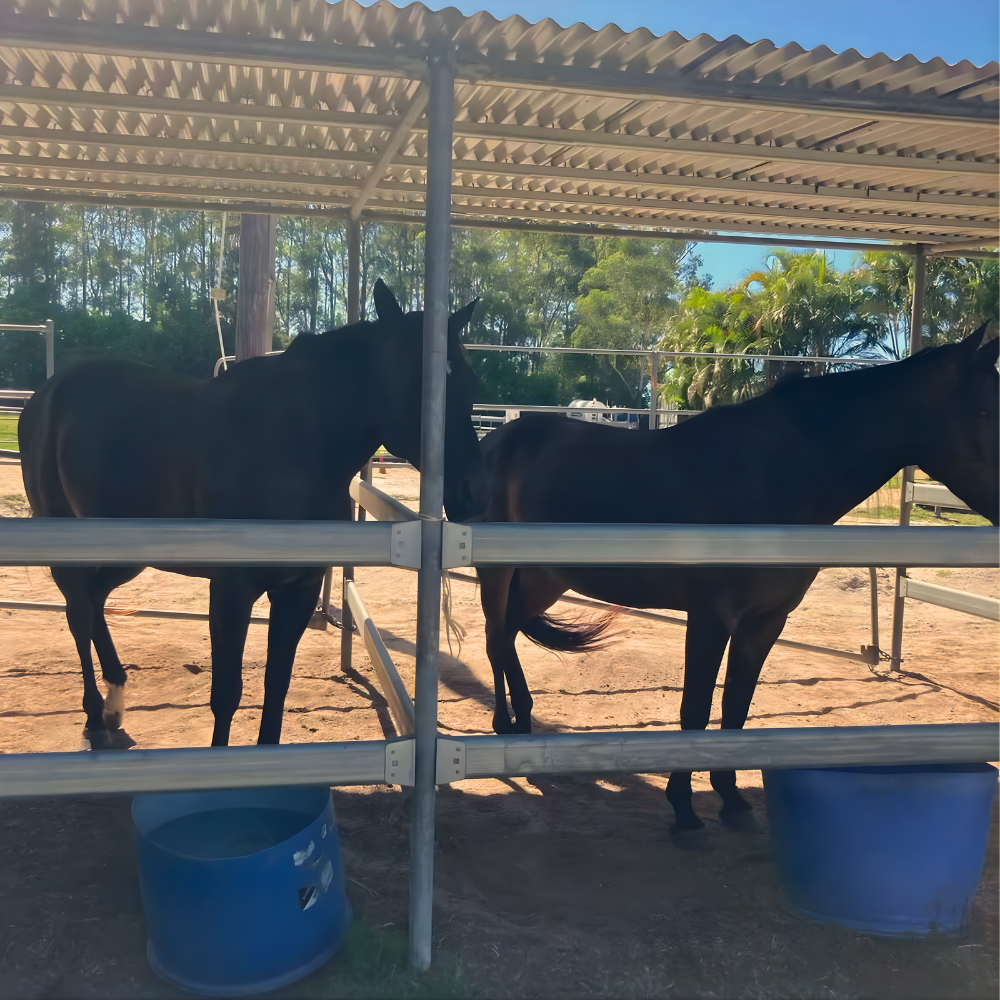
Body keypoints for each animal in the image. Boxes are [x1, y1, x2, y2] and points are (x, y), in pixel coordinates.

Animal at [19, 280, 490, 750]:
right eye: (419, 383)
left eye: (470, 382)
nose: (472, 493)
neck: (294, 444)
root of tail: (46, 395)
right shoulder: (231, 590)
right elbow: (226, 694)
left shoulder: (297, 591)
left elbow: (276, 687)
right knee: (78, 613)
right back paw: (94, 717)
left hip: (126, 552)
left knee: (95, 599)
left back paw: (114, 705)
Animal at [476, 327, 999, 843]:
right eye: (984, 410)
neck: (773, 475)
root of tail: (495, 440)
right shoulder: (711, 618)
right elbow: (696, 709)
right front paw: (684, 810)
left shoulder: (764, 622)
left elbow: (735, 709)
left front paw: (732, 799)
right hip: (497, 573)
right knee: (494, 638)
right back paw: (504, 725)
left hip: (544, 579)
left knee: (510, 634)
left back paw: (524, 722)